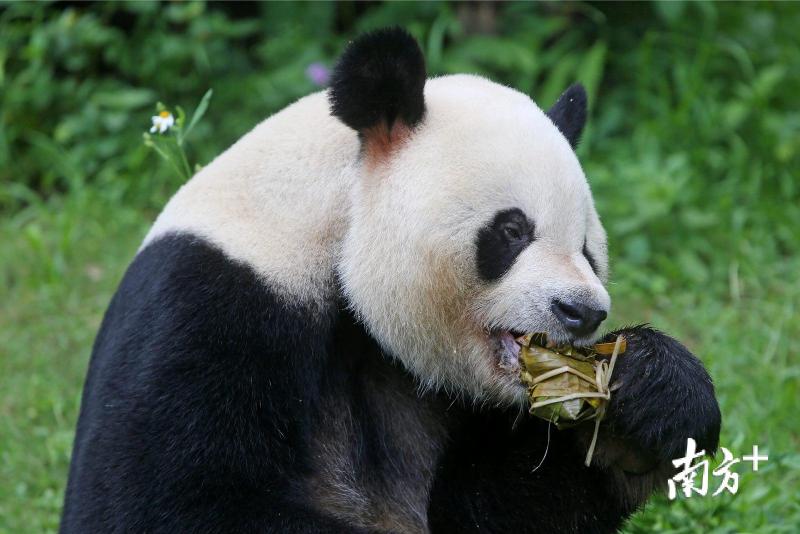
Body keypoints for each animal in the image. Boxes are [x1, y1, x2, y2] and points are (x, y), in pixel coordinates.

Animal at [62, 28, 720, 534]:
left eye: (587, 249)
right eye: (512, 231)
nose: (581, 312)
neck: (336, 221)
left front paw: (644, 409)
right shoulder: (211, 300)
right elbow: (157, 503)